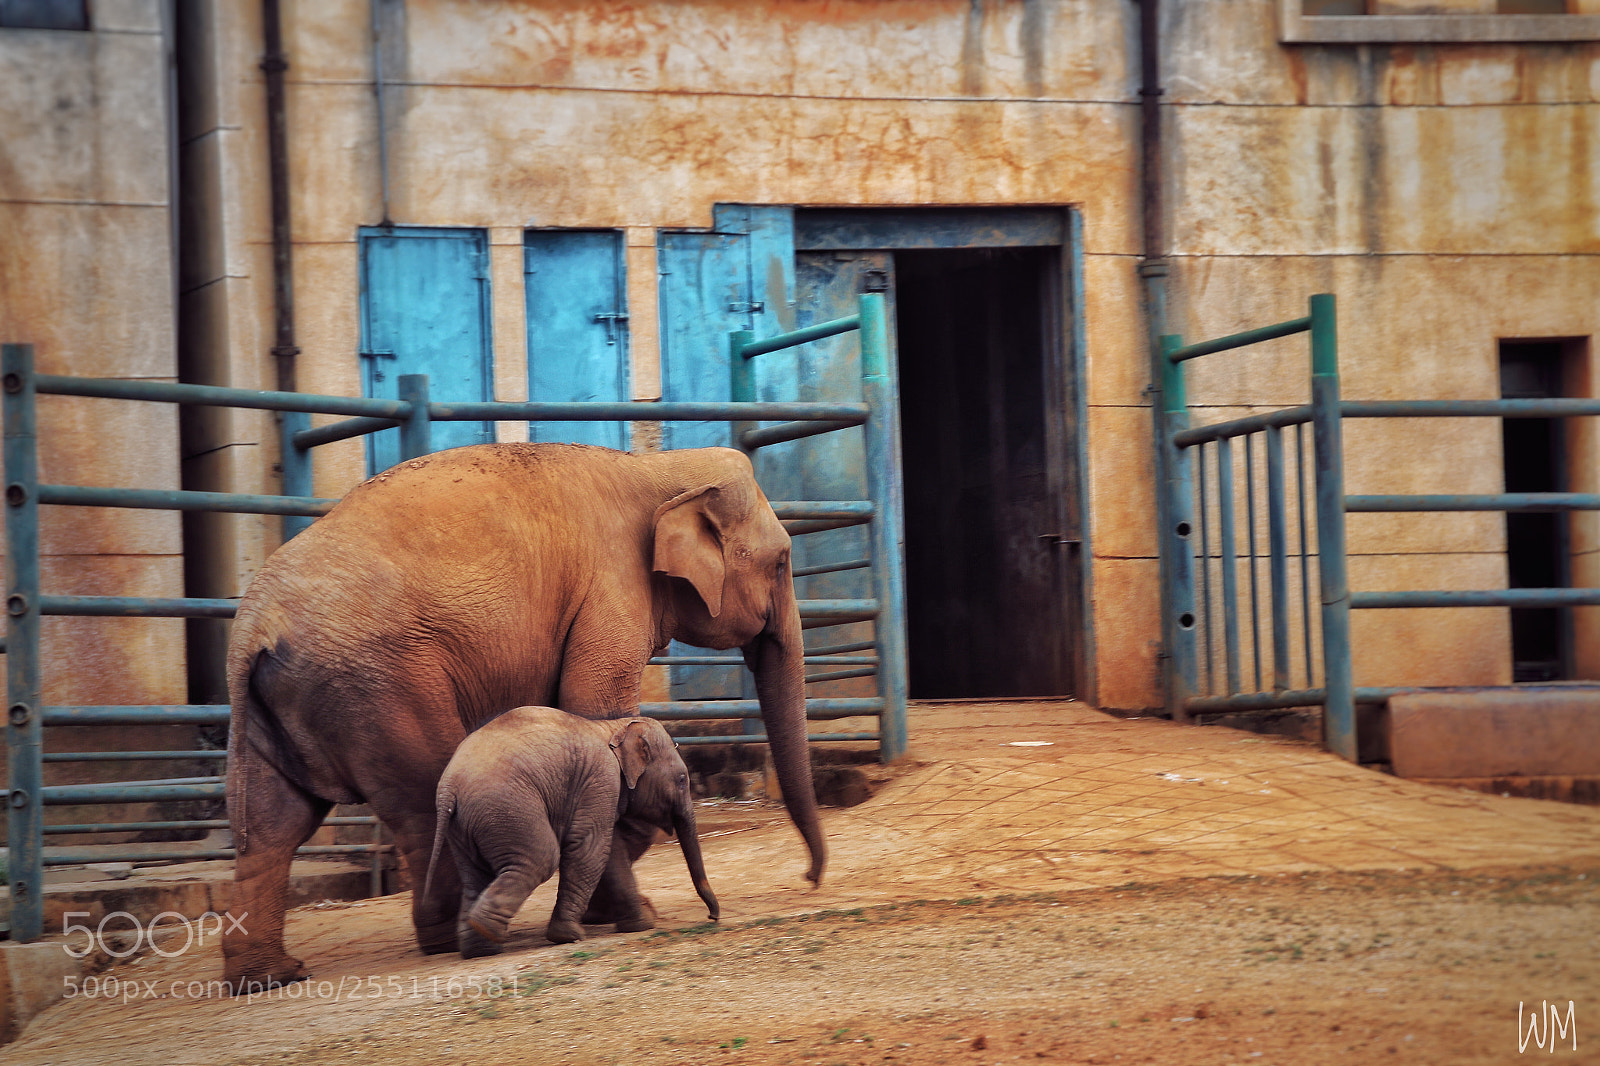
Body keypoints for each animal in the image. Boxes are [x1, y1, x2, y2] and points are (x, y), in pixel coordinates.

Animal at [423, 707, 719, 957]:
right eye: (682, 780)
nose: (712, 918)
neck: (614, 726)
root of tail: (449, 788)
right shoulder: (600, 780)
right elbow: (591, 848)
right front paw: (568, 936)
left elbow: (610, 851)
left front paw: (642, 924)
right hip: (506, 808)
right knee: (541, 858)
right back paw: (488, 930)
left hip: (466, 825)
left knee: (475, 876)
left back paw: (479, 948)